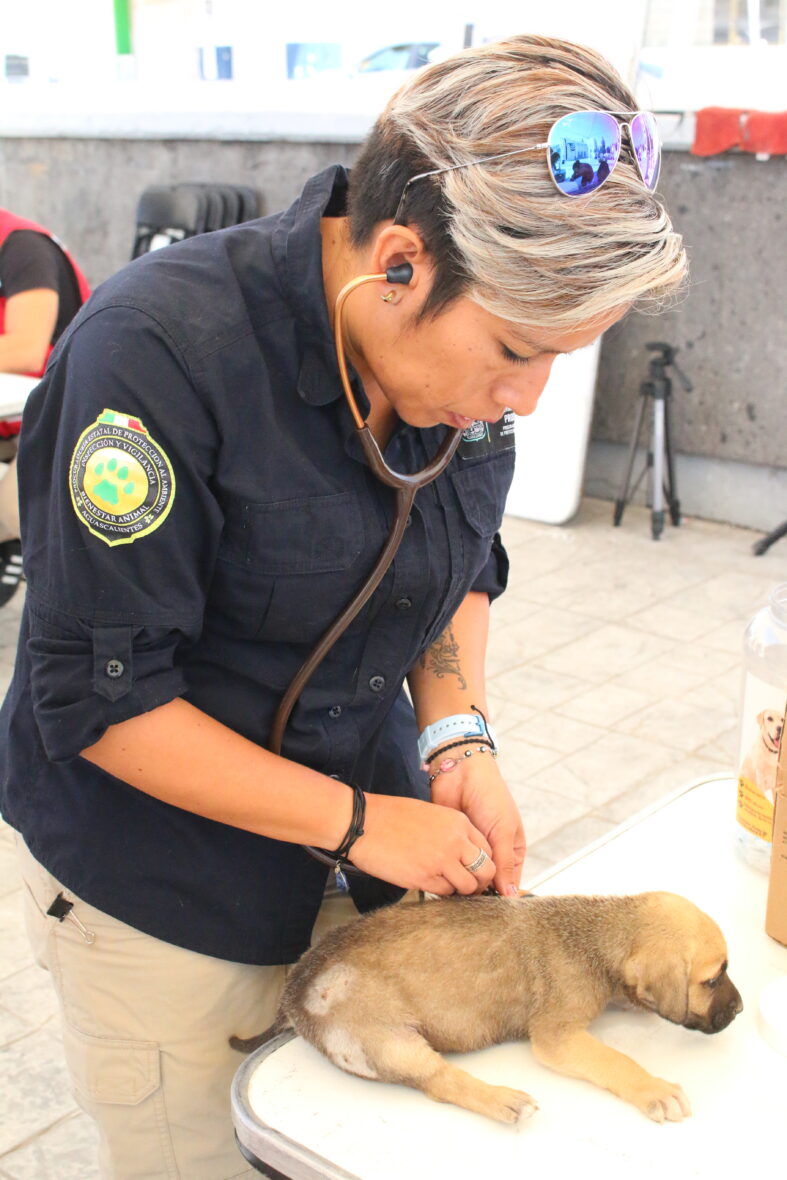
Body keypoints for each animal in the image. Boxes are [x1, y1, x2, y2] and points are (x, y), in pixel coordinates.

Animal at [231, 892, 740, 1123]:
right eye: (712, 979)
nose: (737, 1011)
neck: (596, 933)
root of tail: (296, 988)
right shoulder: (556, 1038)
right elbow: (616, 1060)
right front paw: (653, 1089)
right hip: (385, 1041)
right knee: (440, 1082)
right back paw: (503, 1100)